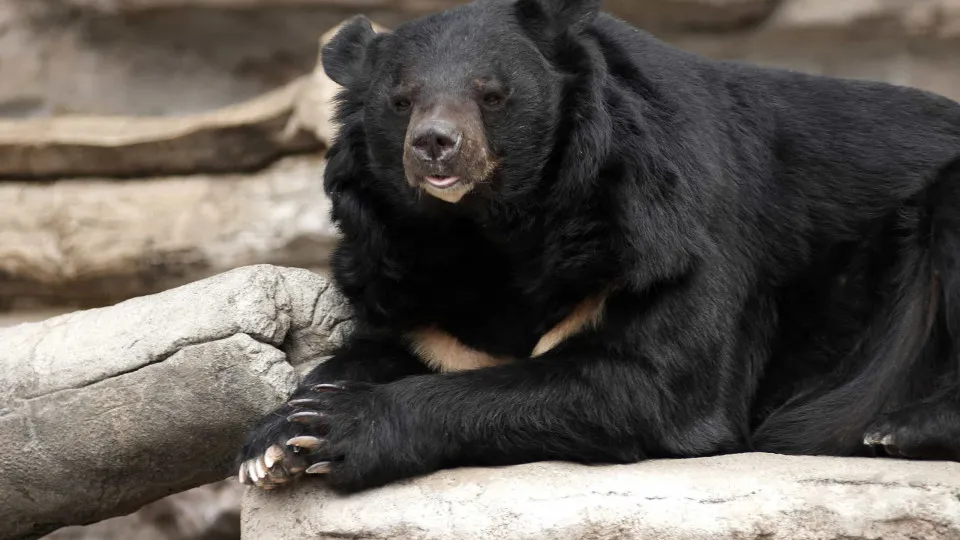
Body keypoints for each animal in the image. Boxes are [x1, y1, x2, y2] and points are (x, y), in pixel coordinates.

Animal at [237, 0, 960, 493]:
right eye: (401, 100)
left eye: (492, 95)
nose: (435, 144)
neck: (485, 231)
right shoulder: (400, 270)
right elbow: (377, 350)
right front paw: (274, 441)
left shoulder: (665, 238)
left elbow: (647, 381)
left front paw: (340, 429)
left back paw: (895, 428)